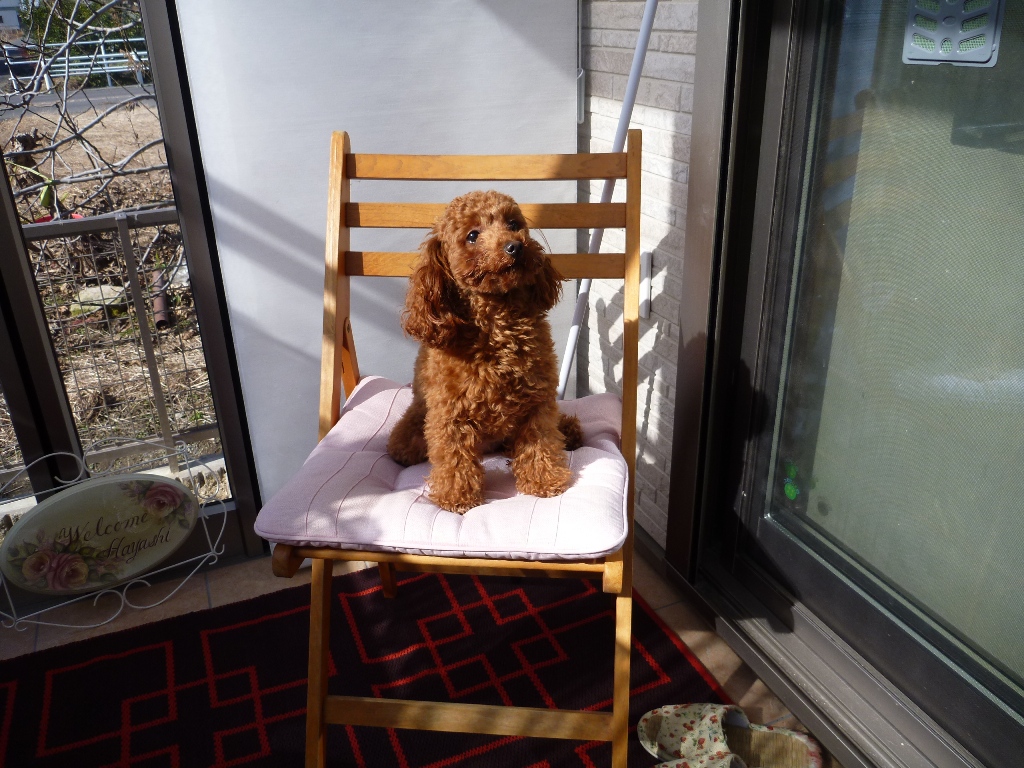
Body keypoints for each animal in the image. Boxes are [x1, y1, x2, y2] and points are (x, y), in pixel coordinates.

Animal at [387, 190, 583, 513]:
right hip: (415, 425)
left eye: (514, 224)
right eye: (472, 235)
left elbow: (540, 442)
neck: (497, 324)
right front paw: (457, 498)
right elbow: (455, 458)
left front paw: (544, 481)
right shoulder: (450, 413)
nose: (515, 246)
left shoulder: (538, 401)